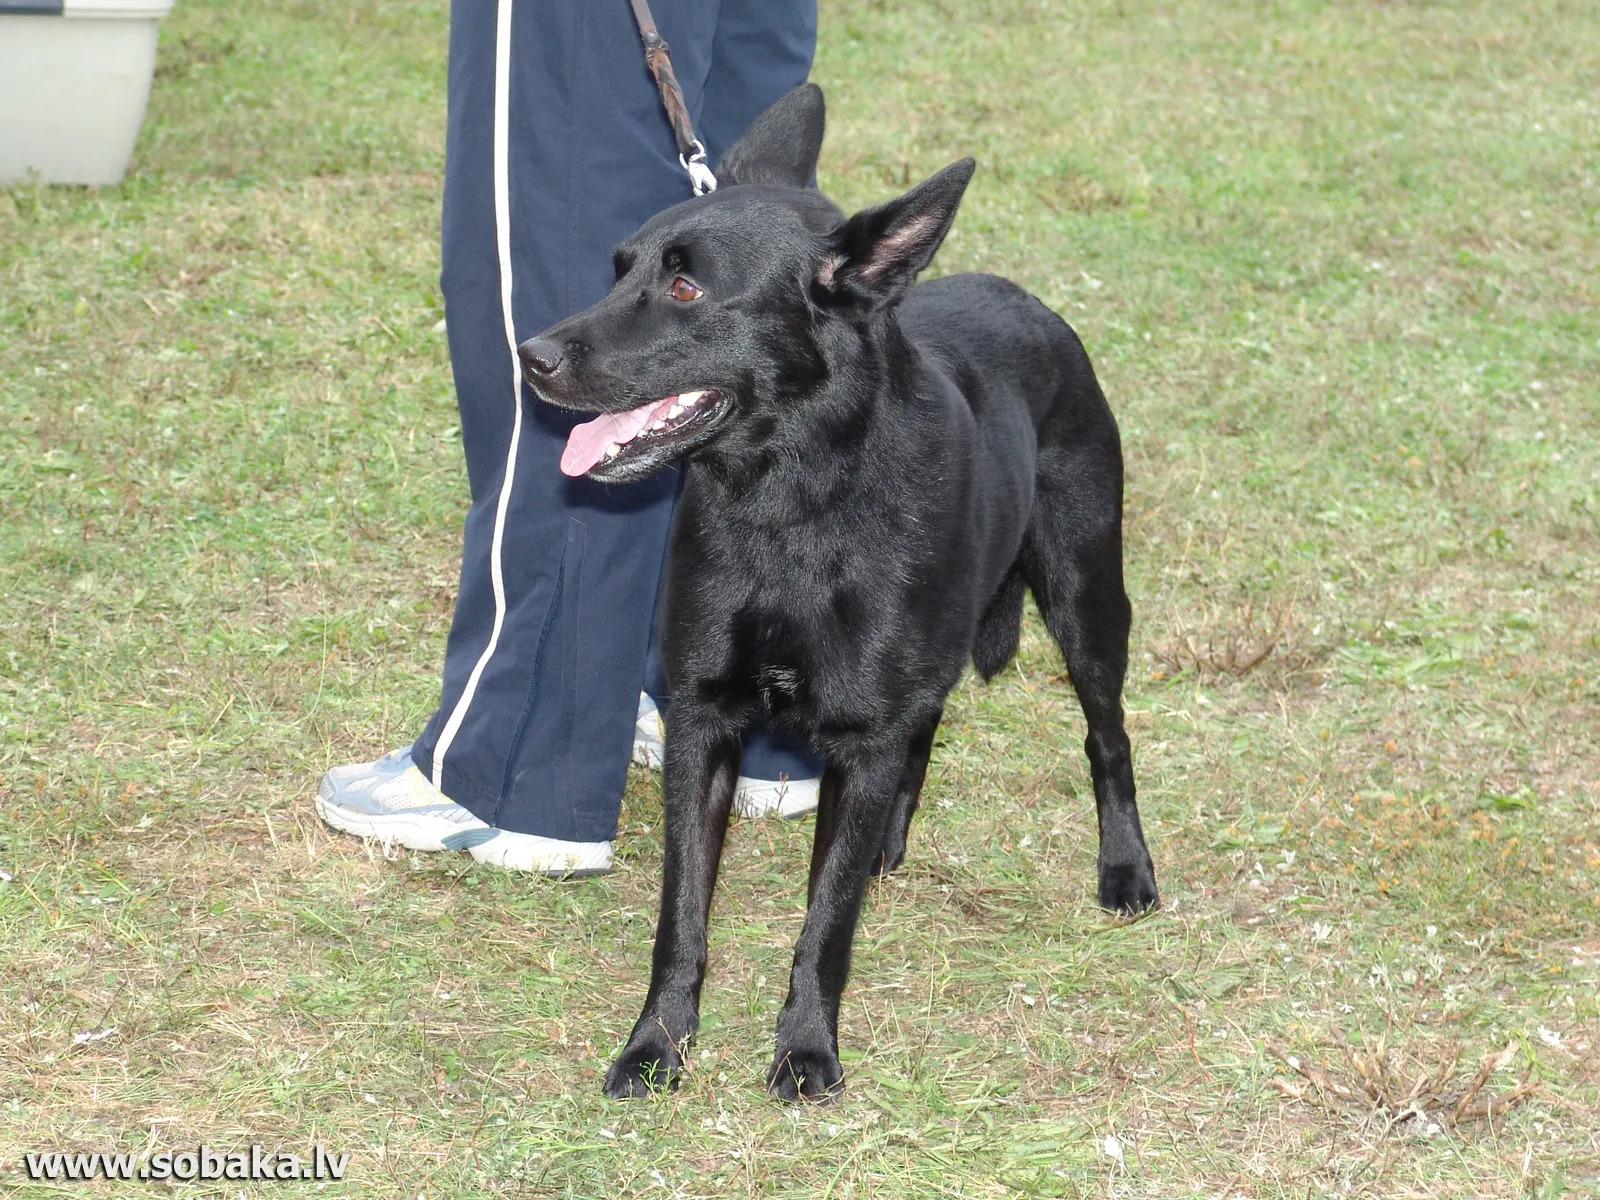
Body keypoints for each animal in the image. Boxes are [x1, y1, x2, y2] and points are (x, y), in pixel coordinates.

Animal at [518, 84, 1158, 1107]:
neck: (793, 508)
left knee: (1107, 738)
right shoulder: (705, 723)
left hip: (1088, 603)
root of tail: (1023, 297)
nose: (531, 356)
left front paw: (806, 1051)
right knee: (928, 725)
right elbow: (681, 914)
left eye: (686, 289)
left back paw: (1125, 868)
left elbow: (824, 924)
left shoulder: (858, 733)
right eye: (619, 271)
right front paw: (656, 1044)